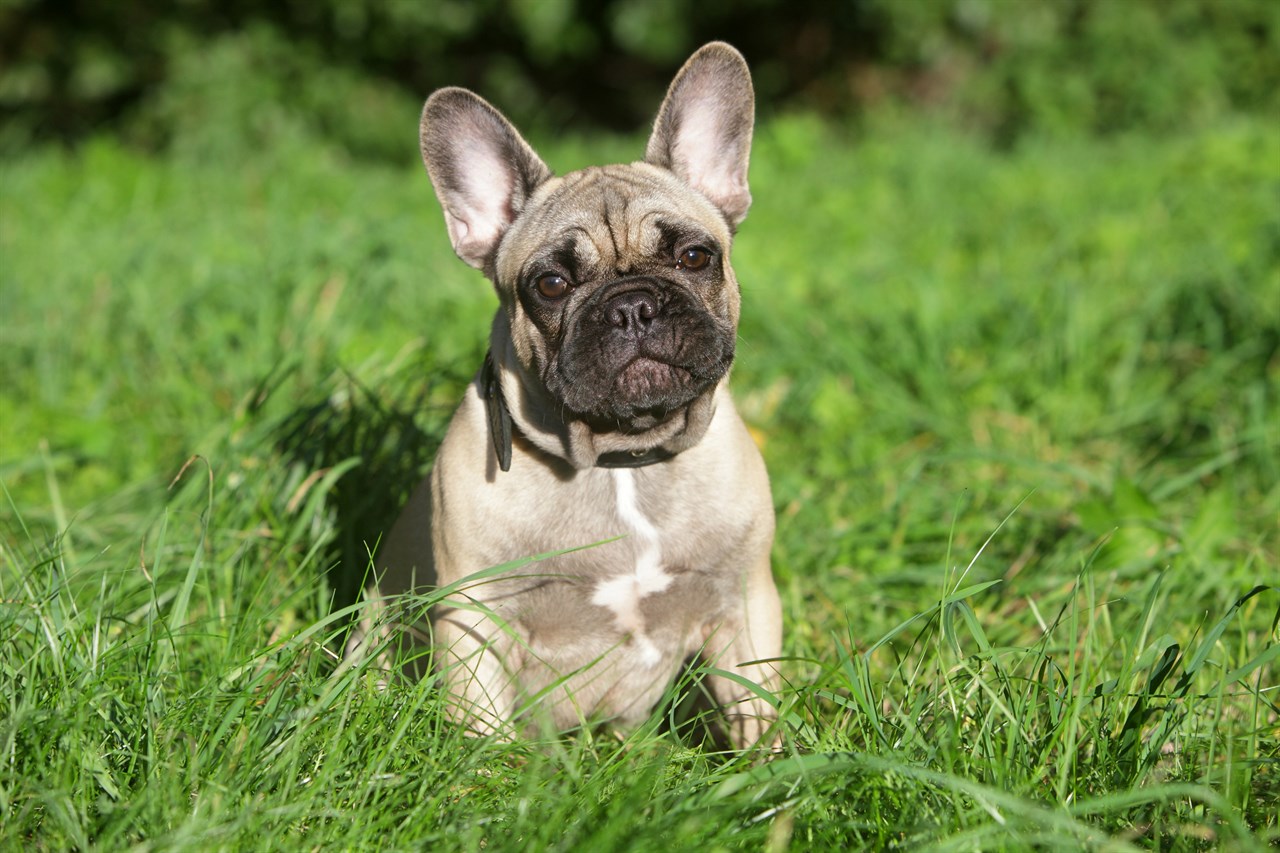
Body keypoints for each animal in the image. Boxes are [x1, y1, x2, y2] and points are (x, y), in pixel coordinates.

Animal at [371, 41, 778, 742]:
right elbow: (484, 736)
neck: (623, 461)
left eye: (695, 257)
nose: (633, 306)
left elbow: (758, 713)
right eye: (552, 284)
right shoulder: (475, 624)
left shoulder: (743, 605)